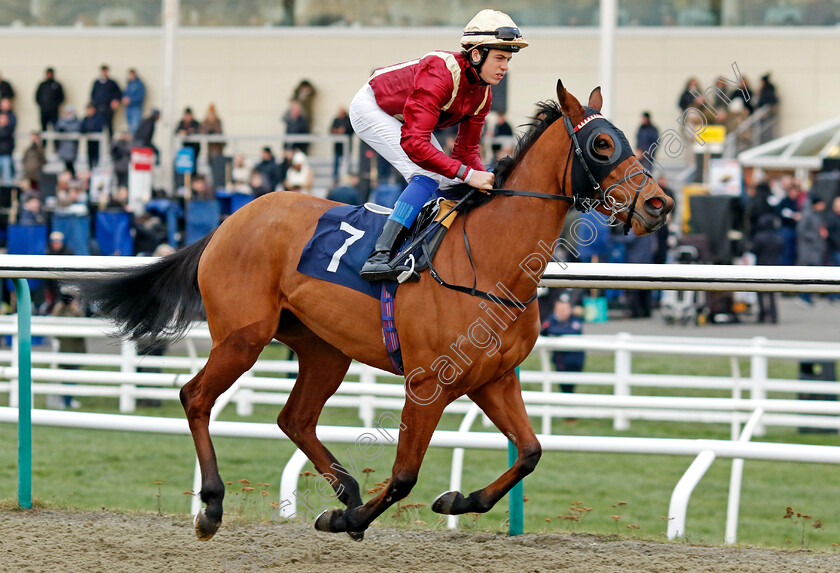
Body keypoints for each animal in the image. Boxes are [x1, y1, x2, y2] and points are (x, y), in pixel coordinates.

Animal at [79, 81, 668, 540]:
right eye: (601, 143)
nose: (659, 204)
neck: (490, 260)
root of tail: (231, 219)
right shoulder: (428, 382)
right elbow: (406, 475)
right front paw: (346, 521)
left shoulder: (494, 378)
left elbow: (530, 452)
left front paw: (455, 501)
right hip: (243, 336)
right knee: (195, 397)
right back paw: (214, 506)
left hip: (323, 349)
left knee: (294, 417)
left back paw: (345, 487)